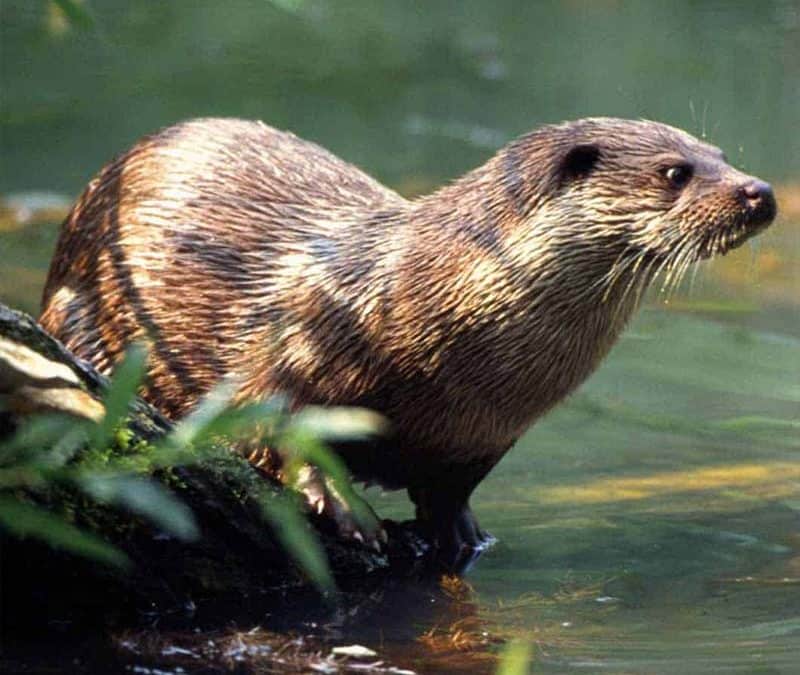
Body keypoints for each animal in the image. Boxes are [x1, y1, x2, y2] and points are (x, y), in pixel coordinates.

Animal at [39, 117, 776, 568]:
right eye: (675, 171)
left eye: (721, 155)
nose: (760, 190)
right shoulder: (304, 336)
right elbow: (276, 419)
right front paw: (341, 504)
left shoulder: (488, 432)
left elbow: (452, 487)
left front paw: (462, 531)